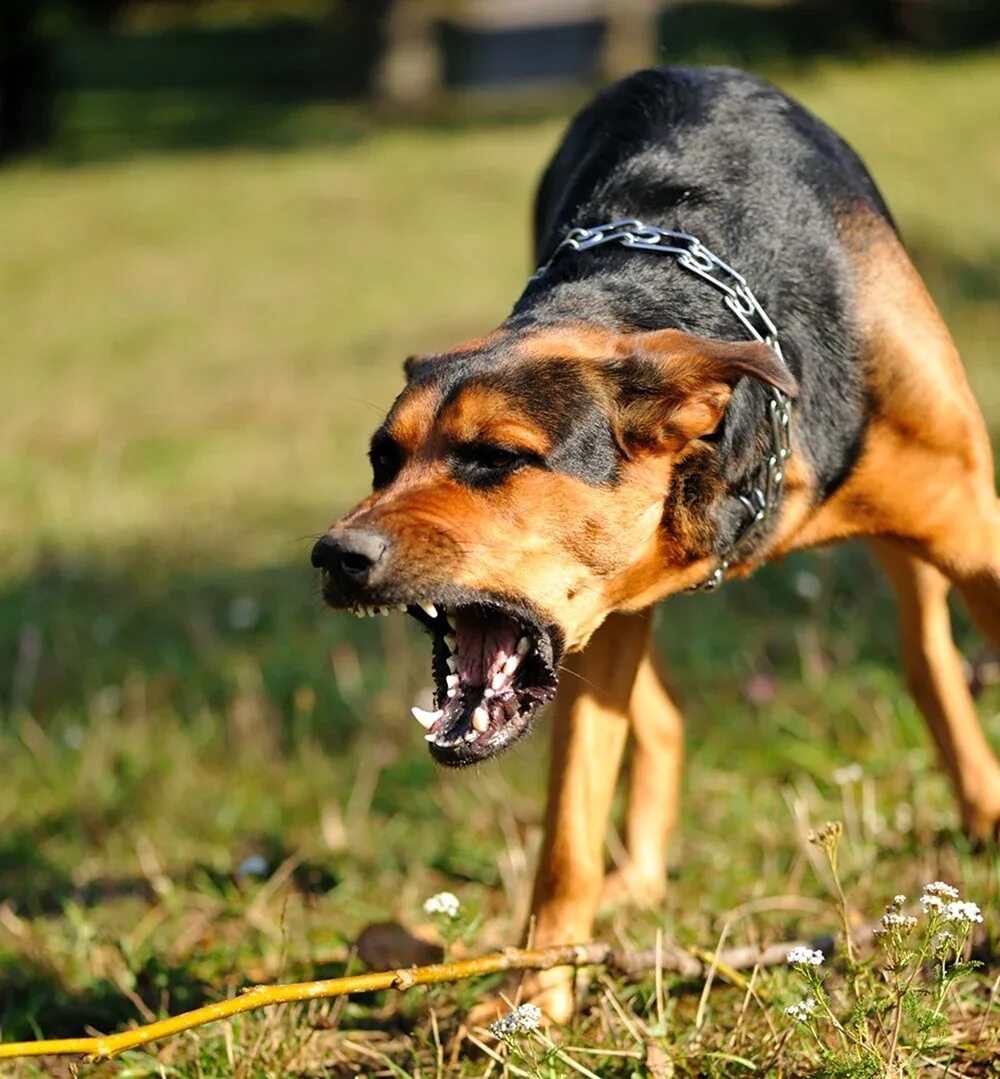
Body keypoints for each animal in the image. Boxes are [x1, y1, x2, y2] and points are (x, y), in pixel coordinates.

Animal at [312, 69, 1000, 1018]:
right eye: (383, 458)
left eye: (497, 457)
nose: (336, 555)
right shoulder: (591, 628)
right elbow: (567, 834)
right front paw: (538, 1001)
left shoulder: (974, 528)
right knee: (661, 717)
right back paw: (633, 880)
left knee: (923, 648)